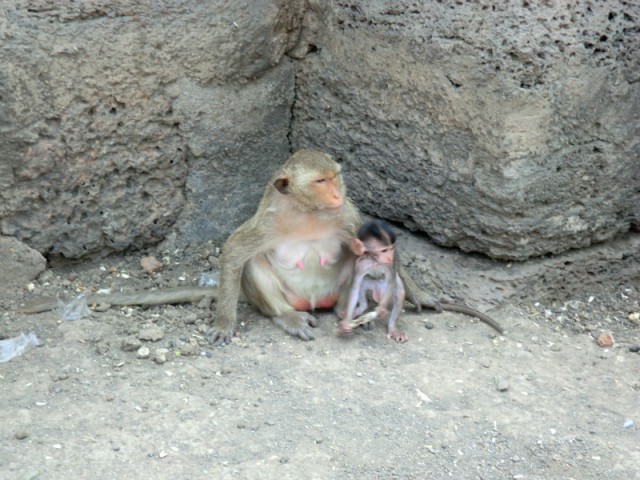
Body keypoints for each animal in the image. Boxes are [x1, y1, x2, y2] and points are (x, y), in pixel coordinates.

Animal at [338, 220, 504, 340]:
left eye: (391, 248)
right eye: (383, 250)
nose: (389, 256)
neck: (375, 261)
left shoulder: (392, 262)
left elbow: (392, 280)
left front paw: (380, 310)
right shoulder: (361, 263)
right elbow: (356, 284)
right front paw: (347, 322)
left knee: (398, 292)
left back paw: (392, 327)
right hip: (371, 284)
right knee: (364, 287)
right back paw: (361, 308)